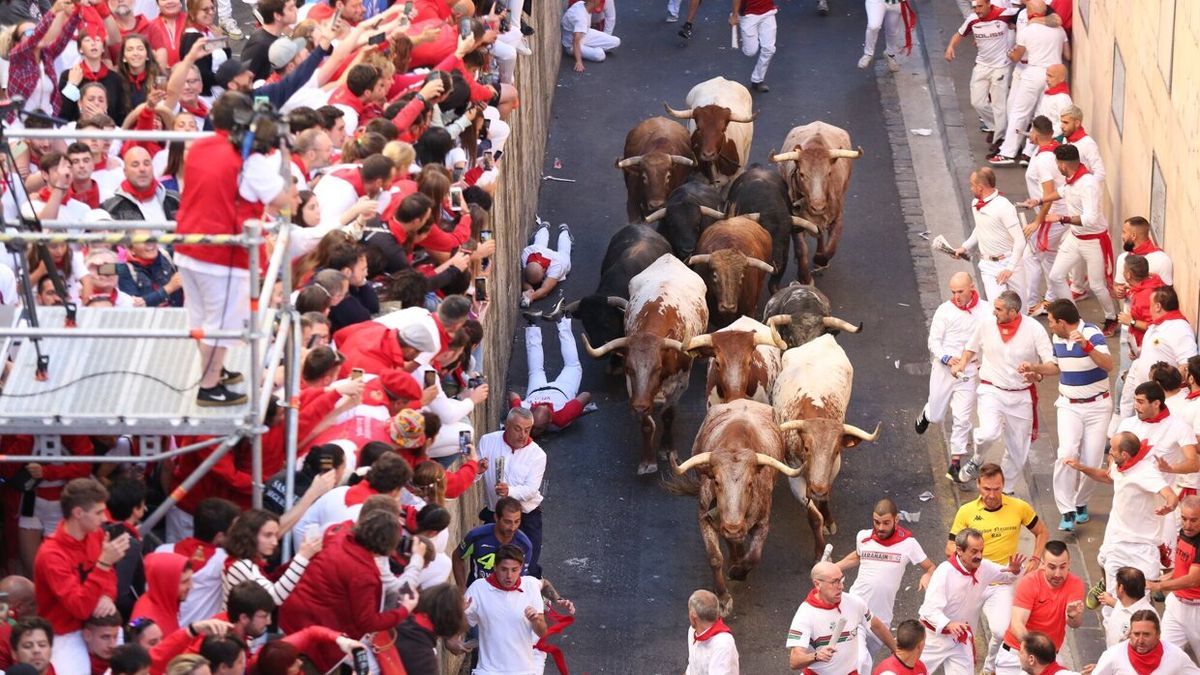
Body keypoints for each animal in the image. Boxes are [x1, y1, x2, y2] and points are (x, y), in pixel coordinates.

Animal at [583, 253, 705, 473]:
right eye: (629, 369)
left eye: (658, 368)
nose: (639, 407)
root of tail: (669, 257)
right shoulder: (634, 389)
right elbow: (647, 425)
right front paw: (648, 461)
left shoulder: (680, 385)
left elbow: (668, 415)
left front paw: (667, 449)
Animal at [672, 398, 801, 614]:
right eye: (716, 481)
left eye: (750, 483)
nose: (733, 527)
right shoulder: (705, 517)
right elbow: (715, 557)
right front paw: (723, 597)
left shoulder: (763, 522)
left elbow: (754, 556)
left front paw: (738, 571)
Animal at [768, 120, 864, 278]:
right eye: (801, 174)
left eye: (829, 173)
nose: (818, 207)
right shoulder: (795, 219)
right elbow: (801, 249)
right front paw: (804, 277)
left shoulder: (838, 217)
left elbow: (832, 247)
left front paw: (820, 259)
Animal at [772, 331, 878, 557]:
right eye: (806, 448)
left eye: (836, 450)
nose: (818, 490)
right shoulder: (795, 475)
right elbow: (813, 516)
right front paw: (820, 550)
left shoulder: (833, 468)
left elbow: (825, 501)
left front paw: (828, 520)